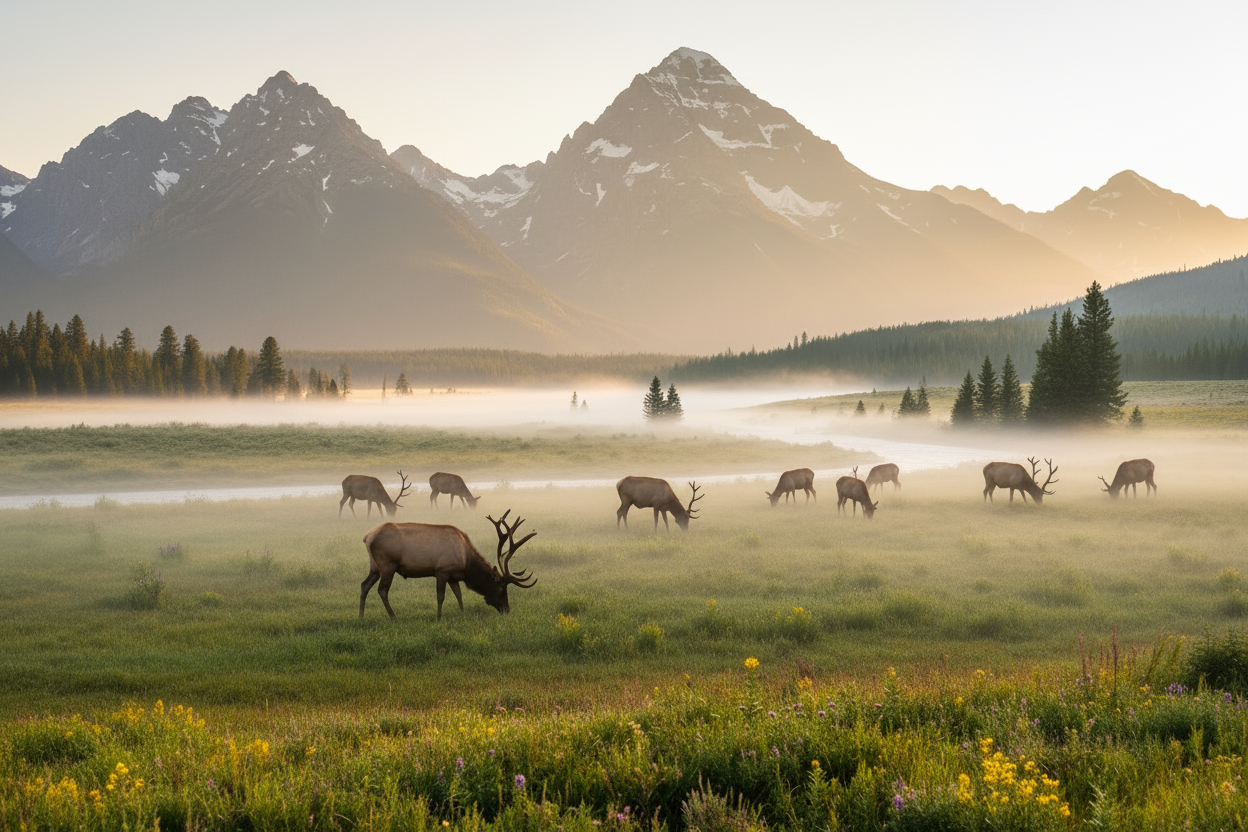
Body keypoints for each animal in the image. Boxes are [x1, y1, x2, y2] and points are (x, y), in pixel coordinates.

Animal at [359, 510, 537, 620]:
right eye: (501, 589)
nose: (507, 610)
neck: (466, 562)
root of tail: (367, 537)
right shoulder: (442, 570)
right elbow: (441, 596)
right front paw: (438, 617)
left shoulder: (453, 576)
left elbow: (459, 595)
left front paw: (463, 614)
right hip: (387, 564)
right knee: (382, 590)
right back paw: (393, 617)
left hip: (374, 566)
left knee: (364, 584)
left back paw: (361, 616)